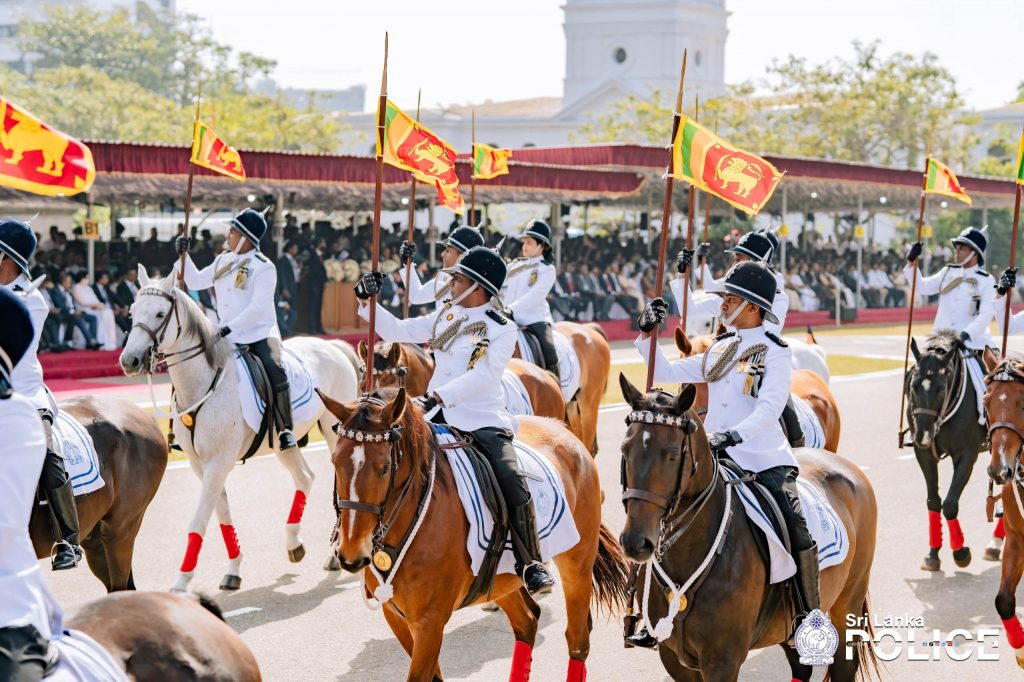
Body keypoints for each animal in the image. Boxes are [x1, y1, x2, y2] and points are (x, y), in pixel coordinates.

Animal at [118, 266, 360, 592]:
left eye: (159, 313)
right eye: (132, 312)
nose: (129, 360)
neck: (203, 385)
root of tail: (332, 345)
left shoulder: (218, 463)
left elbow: (199, 520)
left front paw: (181, 581)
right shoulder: (201, 464)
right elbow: (222, 514)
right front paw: (233, 569)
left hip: (335, 433)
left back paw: (334, 554)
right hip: (283, 442)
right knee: (305, 477)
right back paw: (294, 543)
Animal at [316, 386, 629, 682]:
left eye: (384, 468)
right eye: (335, 461)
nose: (351, 554)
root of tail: (563, 430)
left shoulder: (430, 623)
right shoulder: (397, 617)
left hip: (577, 565)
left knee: (577, 641)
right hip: (501, 579)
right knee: (527, 621)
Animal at [617, 374, 879, 681]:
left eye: (671, 455)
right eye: (625, 450)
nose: (635, 542)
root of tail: (848, 467)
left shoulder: (723, 660)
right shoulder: (673, 658)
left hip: (847, 604)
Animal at [904, 330, 987, 571]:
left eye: (941, 388)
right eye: (913, 386)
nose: (923, 435)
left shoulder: (967, 454)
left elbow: (949, 504)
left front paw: (960, 552)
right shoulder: (924, 455)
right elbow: (934, 501)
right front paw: (933, 553)